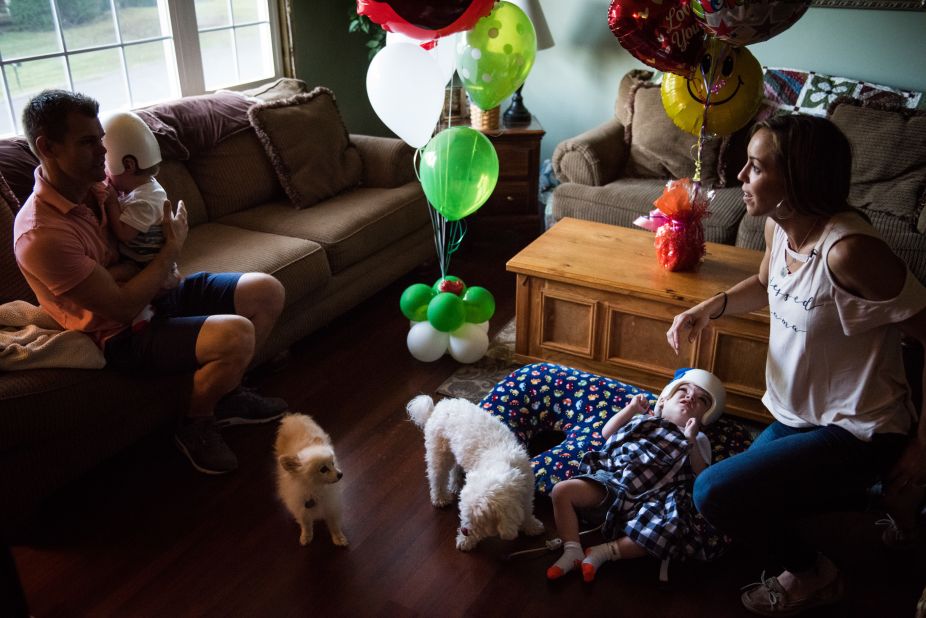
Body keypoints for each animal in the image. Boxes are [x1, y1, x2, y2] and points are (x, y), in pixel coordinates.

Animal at [278, 412, 350, 548]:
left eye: (333, 463)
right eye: (323, 469)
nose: (340, 474)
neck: (315, 488)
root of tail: (291, 417)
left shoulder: (331, 505)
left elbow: (334, 525)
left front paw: (338, 538)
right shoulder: (301, 507)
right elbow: (306, 524)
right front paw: (306, 536)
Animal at [406, 394, 544, 548]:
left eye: (480, 519)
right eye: (464, 513)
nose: (464, 530)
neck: (500, 463)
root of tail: (438, 407)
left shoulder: (526, 493)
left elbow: (527, 511)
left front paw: (532, 526)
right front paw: (465, 541)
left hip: (456, 451)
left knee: (454, 469)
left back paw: (455, 484)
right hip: (439, 453)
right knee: (437, 477)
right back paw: (440, 498)